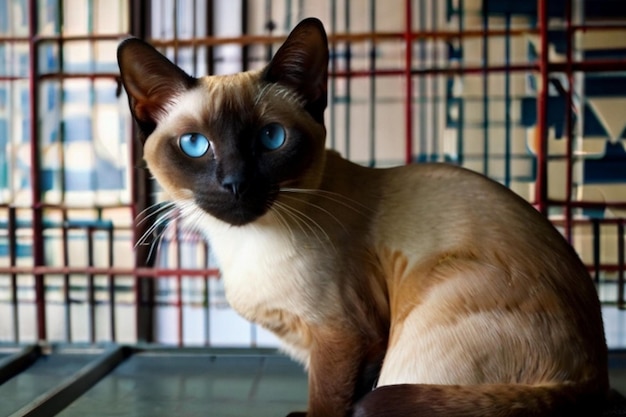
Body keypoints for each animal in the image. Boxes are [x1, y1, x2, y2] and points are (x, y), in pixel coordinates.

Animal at [117, 17, 604, 416]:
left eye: (271, 138)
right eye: (196, 145)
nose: (236, 183)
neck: (245, 244)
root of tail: (587, 382)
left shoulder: (345, 338)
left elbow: (328, 404)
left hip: (416, 332)